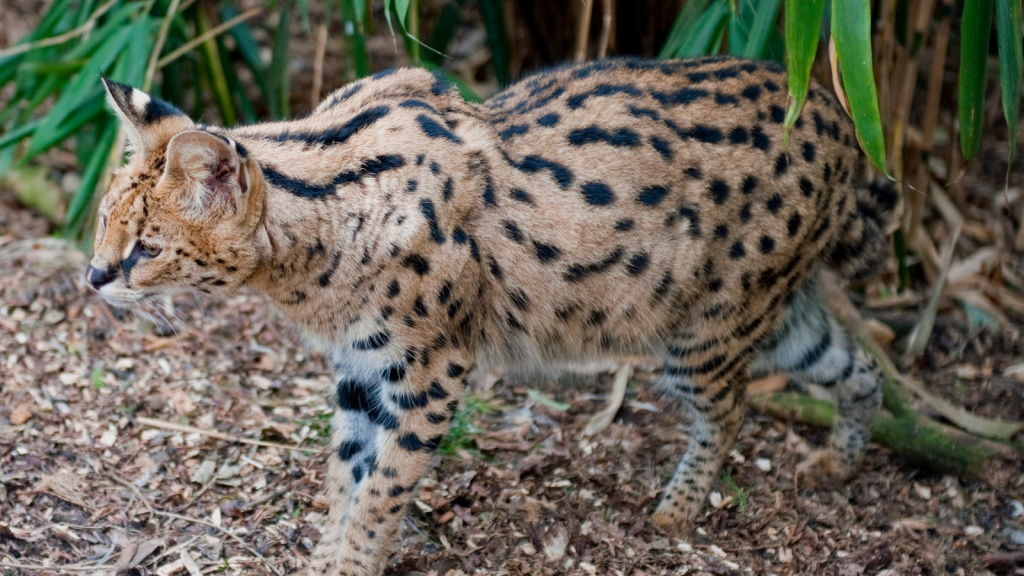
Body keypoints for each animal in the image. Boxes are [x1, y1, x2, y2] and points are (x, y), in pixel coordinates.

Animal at [88, 57, 892, 573]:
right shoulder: (359, 367)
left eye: (146, 249)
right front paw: (324, 558)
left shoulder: (431, 371)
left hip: (704, 328)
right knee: (858, 364)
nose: (94, 277)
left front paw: (349, 564)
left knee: (730, 412)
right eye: (102, 222)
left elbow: (381, 489)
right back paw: (841, 458)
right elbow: (344, 474)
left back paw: (678, 508)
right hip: (768, 317)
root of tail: (834, 111)